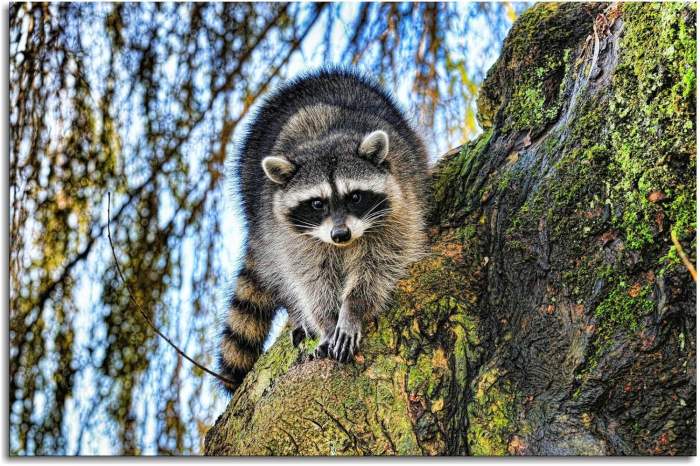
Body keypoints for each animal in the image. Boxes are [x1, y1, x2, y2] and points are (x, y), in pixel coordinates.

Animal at [219, 68, 426, 394]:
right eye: (317, 203)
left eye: (355, 197)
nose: (340, 235)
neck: (325, 140)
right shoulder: (288, 234)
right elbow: (308, 277)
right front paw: (327, 320)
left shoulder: (401, 204)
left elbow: (381, 260)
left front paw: (353, 306)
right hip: (255, 205)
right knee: (278, 270)